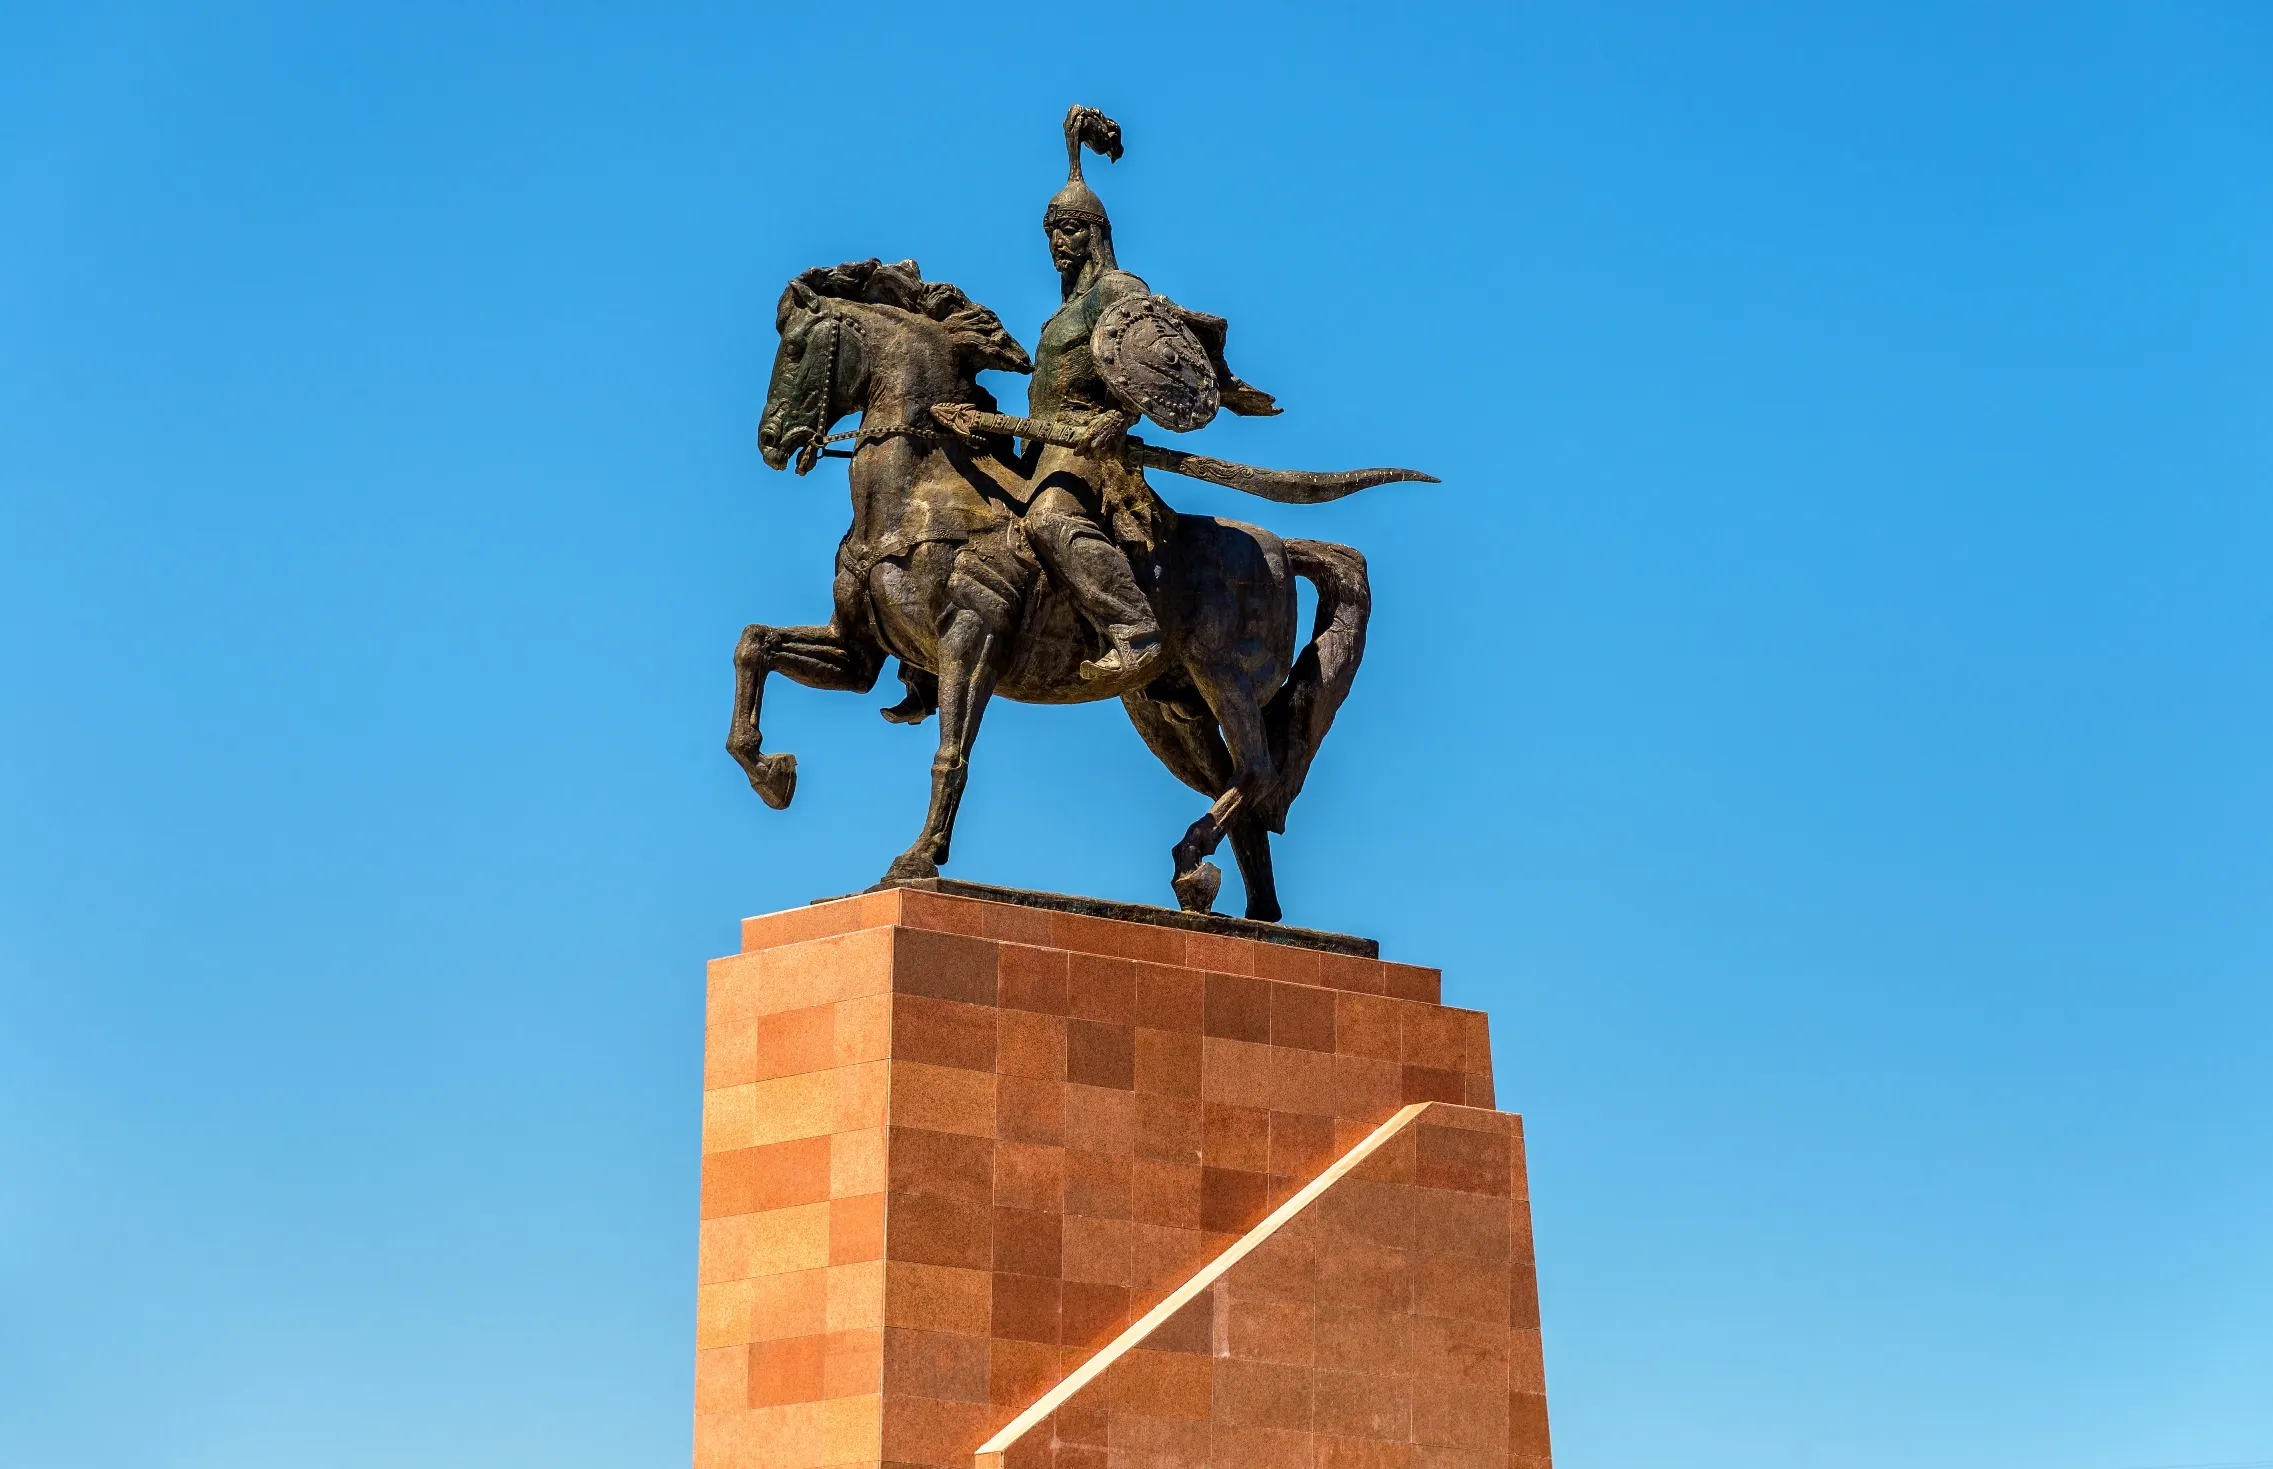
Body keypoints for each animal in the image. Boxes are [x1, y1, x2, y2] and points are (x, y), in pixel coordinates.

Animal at [731, 253, 1363, 918]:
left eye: (795, 348)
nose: (771, 442)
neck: (918, 493)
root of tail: (1280, 547)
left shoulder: (971, 638)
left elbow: (950, 753)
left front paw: (918, 858)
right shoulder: (858, 652)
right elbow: (754, 645)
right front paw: (771, 773)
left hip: (1226, 680)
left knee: (1259, 775)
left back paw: (1197, 862)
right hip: (1171, 710)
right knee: (1242, 792)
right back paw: (1241, 906)